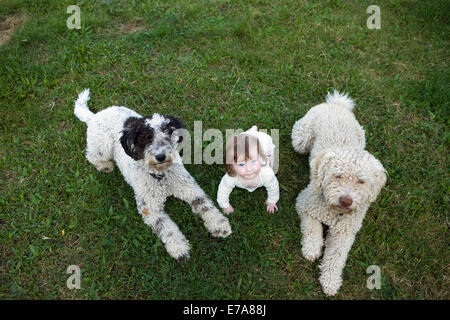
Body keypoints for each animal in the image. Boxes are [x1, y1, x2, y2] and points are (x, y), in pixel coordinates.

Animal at [74, 89, 232, 262]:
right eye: (146, 138)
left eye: (168, 134)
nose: (160, 156)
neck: (161, 176)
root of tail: (94, 116)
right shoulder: (150, 209)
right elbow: (167, 229)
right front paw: (179, 249)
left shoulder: (190, 189)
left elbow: (206, 206)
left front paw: (219, 225)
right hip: (102, 147)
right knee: (91, 155)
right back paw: (105, 166)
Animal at [292, 91, 386, 296]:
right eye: (338, 175)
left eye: (361, 181)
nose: (346, 201)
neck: (335, 213)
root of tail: (337, 105)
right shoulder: (304, 205)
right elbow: (312, 229)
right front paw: (312, 248)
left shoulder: (345, 232)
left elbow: (336, 257)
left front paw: (330, 281)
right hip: (301, 139)